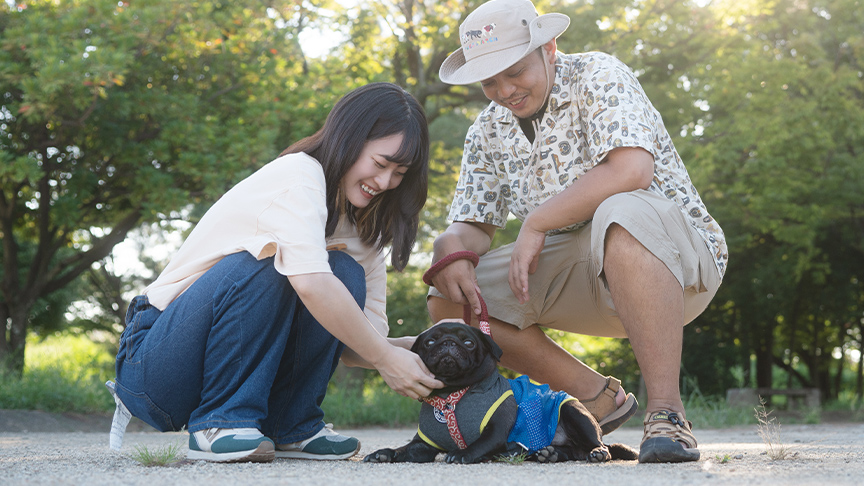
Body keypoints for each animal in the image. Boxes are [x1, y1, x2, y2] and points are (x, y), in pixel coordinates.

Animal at [362, 320, 636, 466]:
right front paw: (383, 453)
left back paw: (596, 453)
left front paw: (462, 454)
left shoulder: (495, 430)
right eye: (430, 342)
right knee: (571, 452)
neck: (452, 394)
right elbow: (403, 450)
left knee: (598, 445)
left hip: (574, 411)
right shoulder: (423, 446)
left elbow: (480, 443)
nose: (448, 343)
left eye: (468, 342)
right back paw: (548, 453)